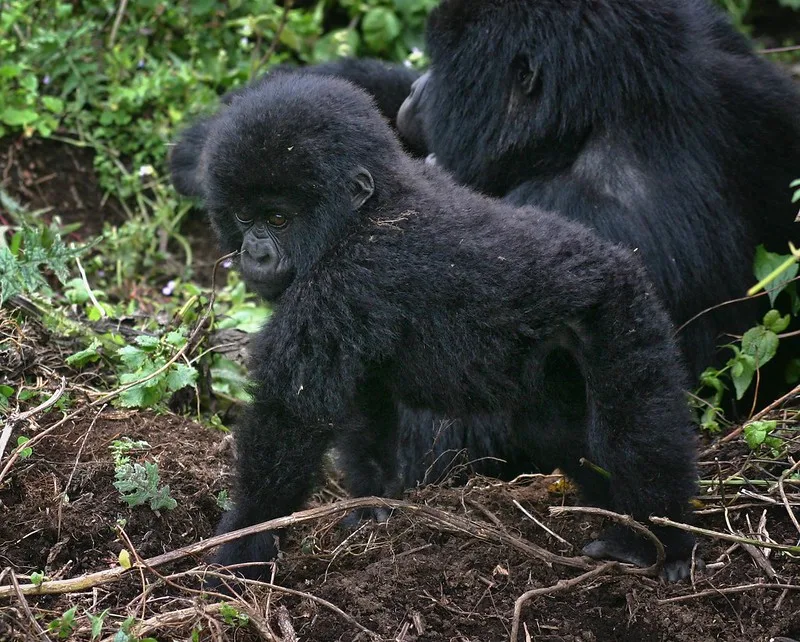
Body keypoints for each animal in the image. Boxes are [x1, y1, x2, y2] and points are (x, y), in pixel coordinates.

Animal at [197, 71, 696, 580]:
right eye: (245, 216)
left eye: (278, 218)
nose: (255, 253)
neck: (370, 207)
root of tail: (623, 261)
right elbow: (365, 413)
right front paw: (373, 509)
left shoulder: (346, 277)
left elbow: (291, 418)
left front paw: (241, 545)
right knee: (563, 432)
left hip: (618, 315)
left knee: (637, 426)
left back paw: (657, 538)